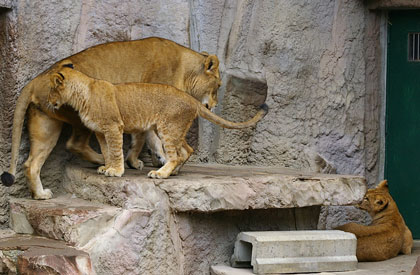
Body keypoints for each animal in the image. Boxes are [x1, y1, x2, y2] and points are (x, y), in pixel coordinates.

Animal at [47, 66, 268, 179]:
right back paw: (173, 171)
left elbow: (116, 150)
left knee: (175, 154)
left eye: (51, 89)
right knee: (186, 151)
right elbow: (107, 151)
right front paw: (106, 167)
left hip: (168, 128)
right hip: (174, 129)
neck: (81, 95)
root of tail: (191, 99)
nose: (48, 101)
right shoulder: (101, 132)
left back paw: (161, 173)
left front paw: (116, 171)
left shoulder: (113, 127)